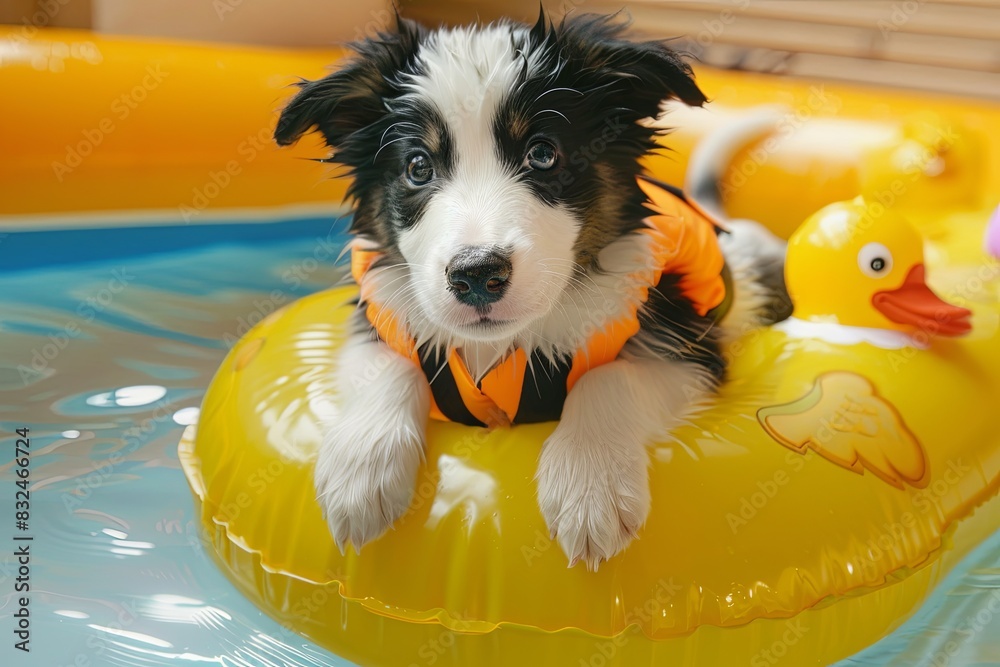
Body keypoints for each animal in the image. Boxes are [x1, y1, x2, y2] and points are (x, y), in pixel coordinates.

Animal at [276, 11, 788, 568]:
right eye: (417, 167)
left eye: (542, 154)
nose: (477, 275)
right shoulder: (381, 315)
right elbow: (391, 360)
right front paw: (361, 470)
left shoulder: (687, 340)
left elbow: (610, 375)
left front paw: (591, 485)